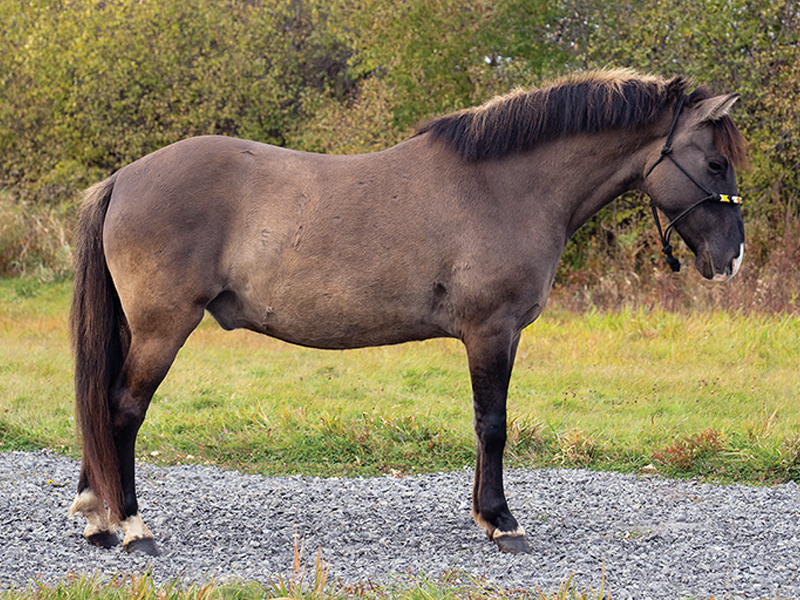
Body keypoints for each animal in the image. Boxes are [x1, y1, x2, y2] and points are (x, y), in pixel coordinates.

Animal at [68, 69, 748, 556]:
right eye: (715, 163)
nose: (732, 258)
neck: (505, 187)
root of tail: (124, 178)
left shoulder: (501, 336)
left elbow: (483, 423)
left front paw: (484, 515)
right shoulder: (491, 331)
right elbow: (494, 424)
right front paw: (503, 522)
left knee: (102, 405)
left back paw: (96, 517)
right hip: (162, 329)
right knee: (122, 409)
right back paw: (131, 526)